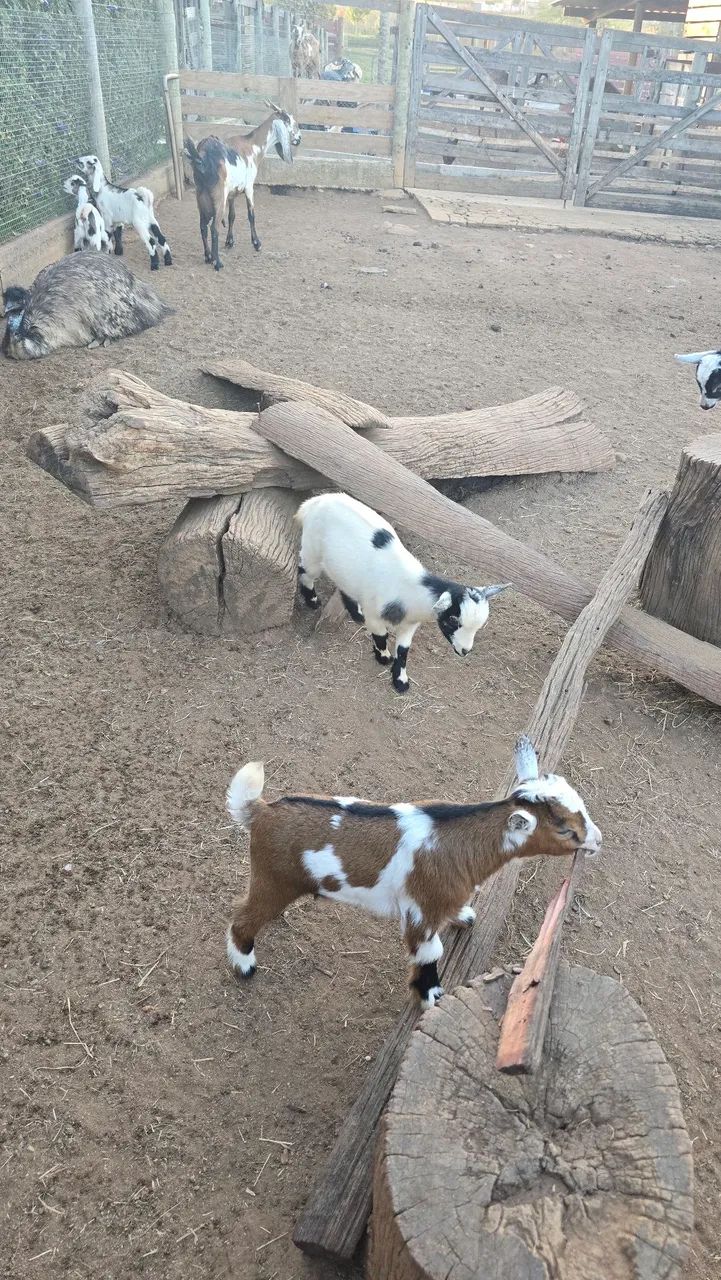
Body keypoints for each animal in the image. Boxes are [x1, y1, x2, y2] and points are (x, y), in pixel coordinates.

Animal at [184, 103, 301, 271]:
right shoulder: (249, 187)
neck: (253, 146)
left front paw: (230, 241)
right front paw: (257, 243)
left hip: (201, 195)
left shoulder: (232, 193)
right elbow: (251, 215)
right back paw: (217, 262)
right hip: (218, 196)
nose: (299, 138)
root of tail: (202, 158)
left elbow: (232, 216)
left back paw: (207, 256)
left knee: (202, 226)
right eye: (292, 121)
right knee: (214, 228)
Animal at [225, 737, 602, 1007]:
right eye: (565, 830)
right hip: (273, 879)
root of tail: (260, 811)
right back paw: (245, 965)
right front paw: (430, 994)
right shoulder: (421, 910)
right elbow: (429, 954)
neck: (458, 843)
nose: (598, 840)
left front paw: (463, 916)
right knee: (242, 917)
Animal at [296, 492, 509, 692]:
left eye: (478, 627)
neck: (409, 589)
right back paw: (313, 601)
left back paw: (356, 613)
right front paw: (383, 657)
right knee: (304, 571)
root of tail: (315, 501)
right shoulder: (375, 615)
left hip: (343, 568)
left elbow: (404, 651)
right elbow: (381, 636)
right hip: (311, 550)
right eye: (452, 619)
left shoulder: (410, 625)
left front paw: (400, 681)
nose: (465, 650)